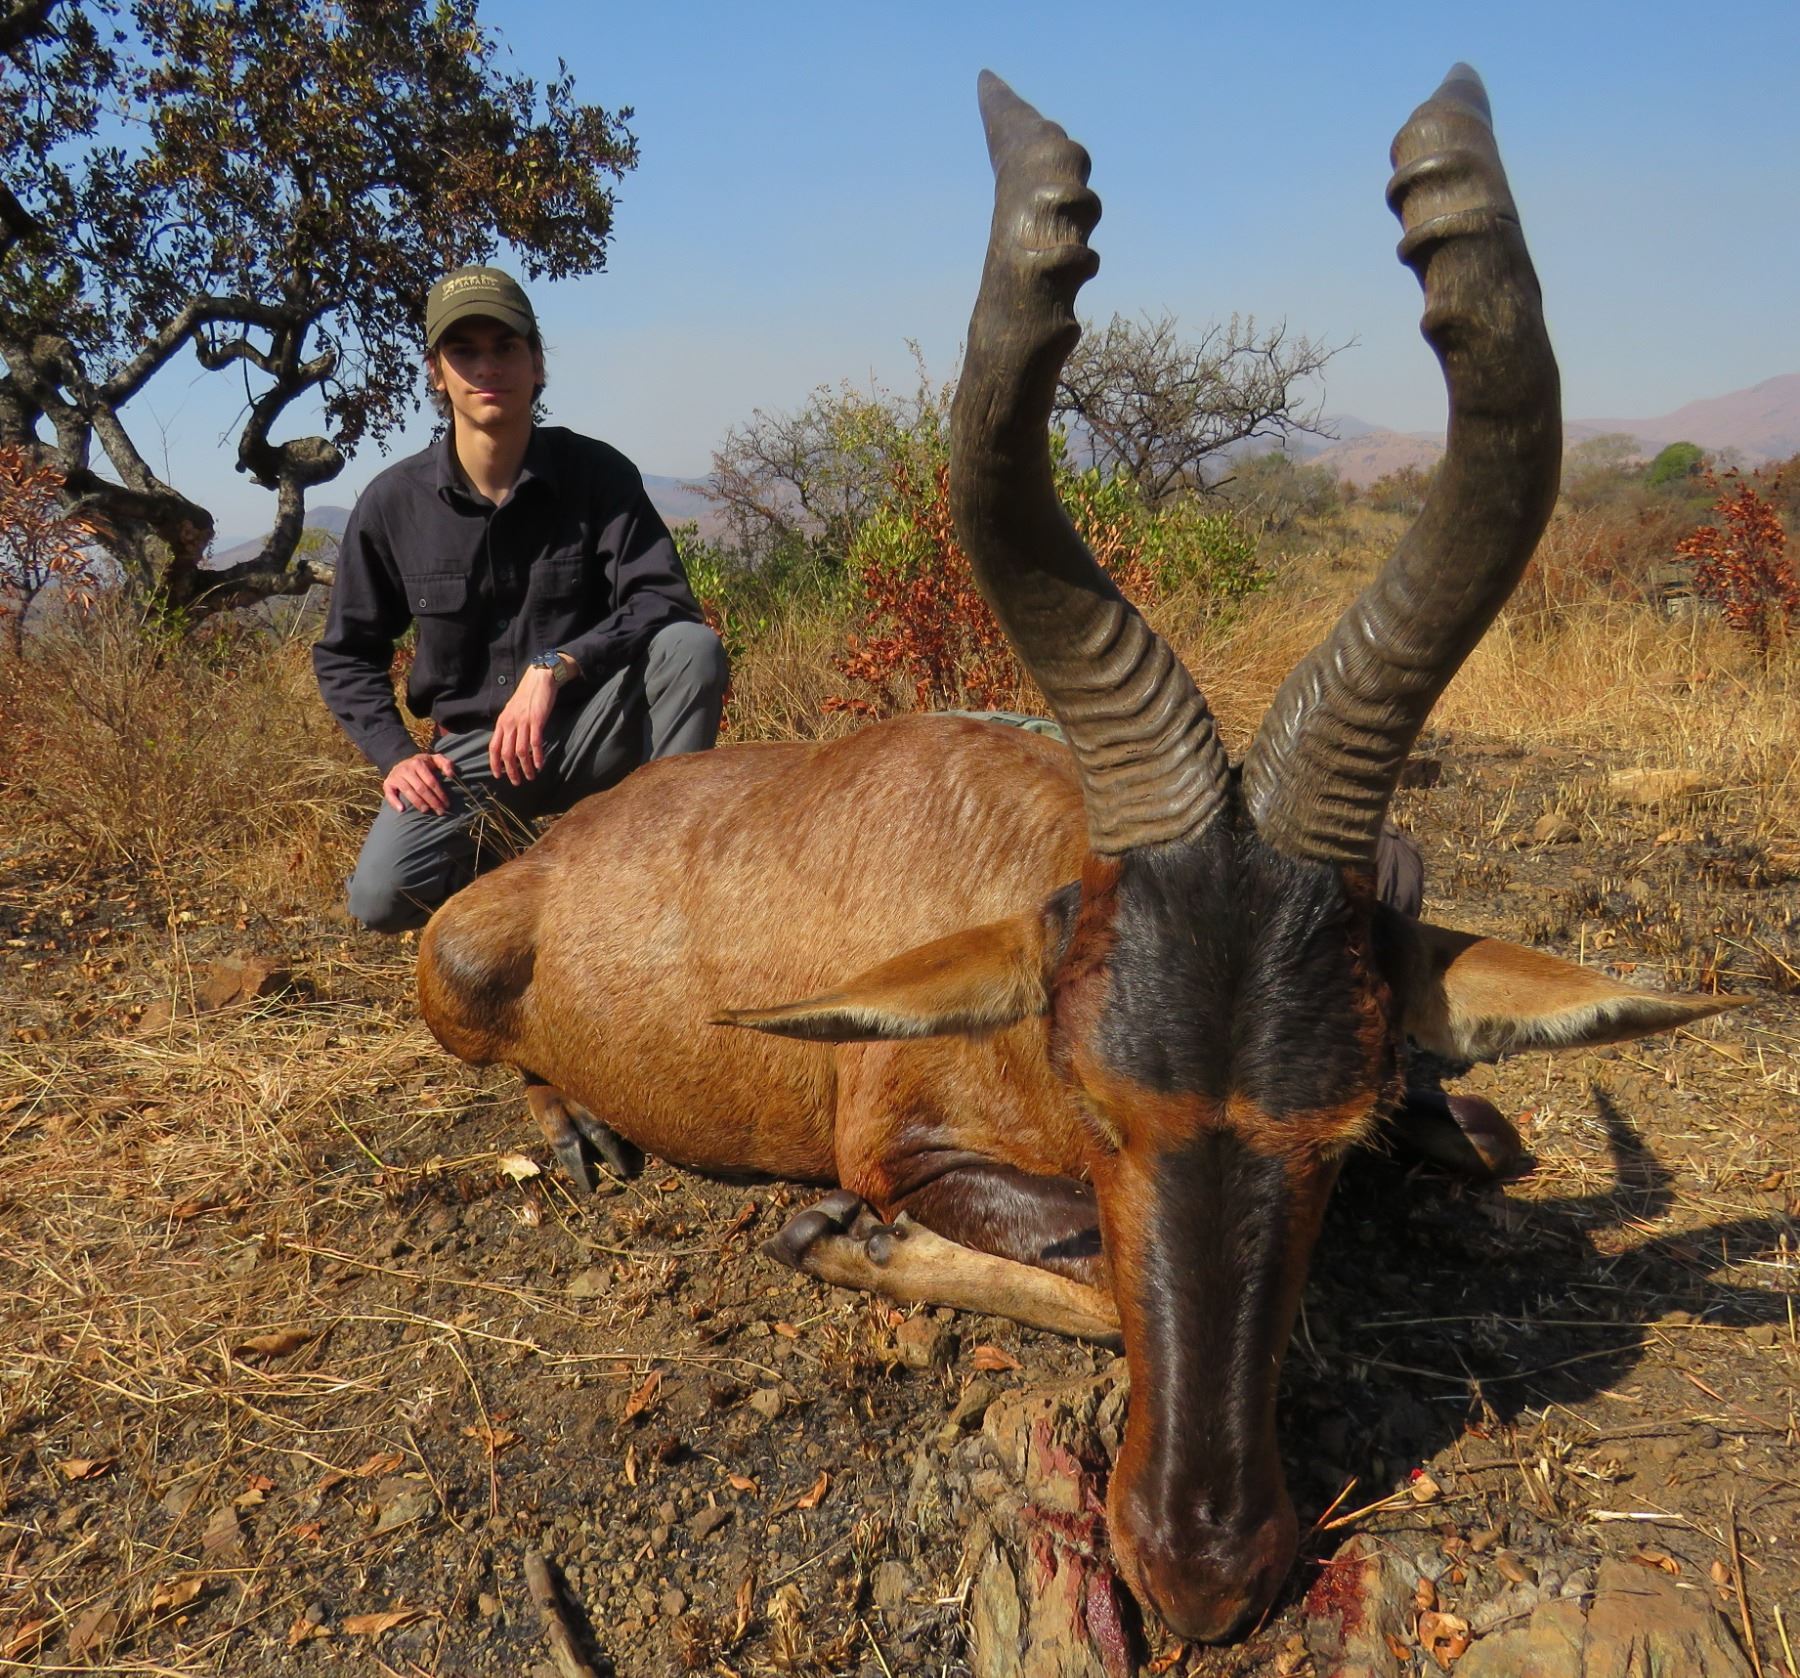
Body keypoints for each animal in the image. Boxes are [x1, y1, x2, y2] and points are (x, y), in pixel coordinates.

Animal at [416, 67, 1742, 1644]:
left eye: (1341, 1127)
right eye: (1098, 1100)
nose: (1203, 1569)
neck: (1011, 846)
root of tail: (553, 854)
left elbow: (1489, 1134)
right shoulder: (902, 1139)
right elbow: (1095, 1269)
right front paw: (836, 1237)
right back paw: (580, 1134)